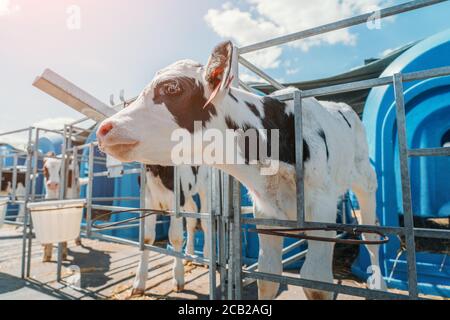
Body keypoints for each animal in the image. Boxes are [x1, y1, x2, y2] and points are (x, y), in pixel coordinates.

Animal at [96, 41, 386, 298]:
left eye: (172, 87)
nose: (103, 129)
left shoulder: (321, 210)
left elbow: (315, 282)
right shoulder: (265, 215)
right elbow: (267, 278)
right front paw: (140, 283)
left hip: (366, 181)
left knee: (371, 231)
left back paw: (378, 283)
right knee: (193, 219)